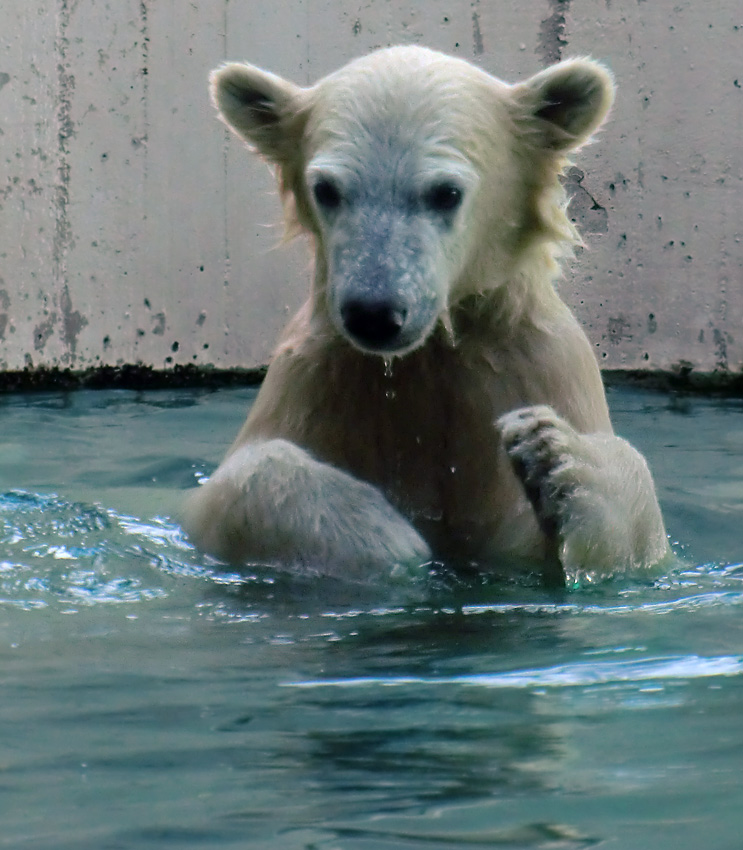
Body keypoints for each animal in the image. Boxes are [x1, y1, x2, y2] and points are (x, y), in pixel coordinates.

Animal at [183, 44, 672, 584]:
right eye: (327, 189)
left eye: (445, 192)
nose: (374, 312)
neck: (431, 352)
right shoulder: (315, 382)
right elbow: (231, 488)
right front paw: (384, 536)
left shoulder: (537, 367)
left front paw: (555, 453)